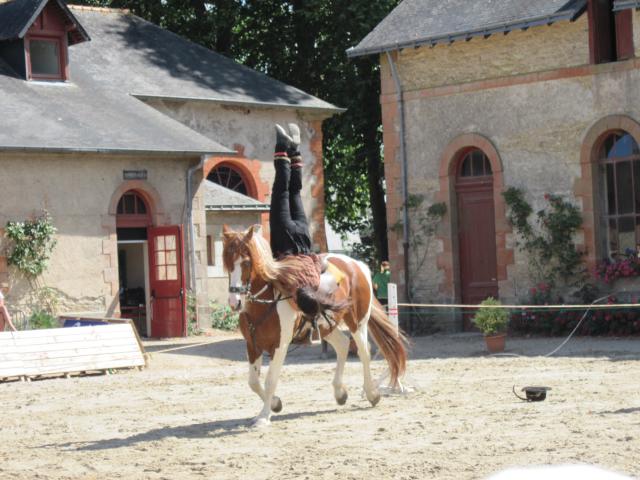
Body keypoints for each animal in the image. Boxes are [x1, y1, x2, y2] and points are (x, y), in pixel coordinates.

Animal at [222, 223, 408, 426]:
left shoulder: (280, 345)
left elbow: (269, 381)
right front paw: (275, 404)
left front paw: (264, 417)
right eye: (227, 262)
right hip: (328, 326)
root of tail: (357, 265)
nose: (234, 302)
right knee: (343, 344)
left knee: (364, 350)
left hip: (357, 321)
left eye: (247, 262)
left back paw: (372, 393)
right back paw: (340, 392)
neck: (265, 302)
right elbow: (253, 382)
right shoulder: (252, 345)